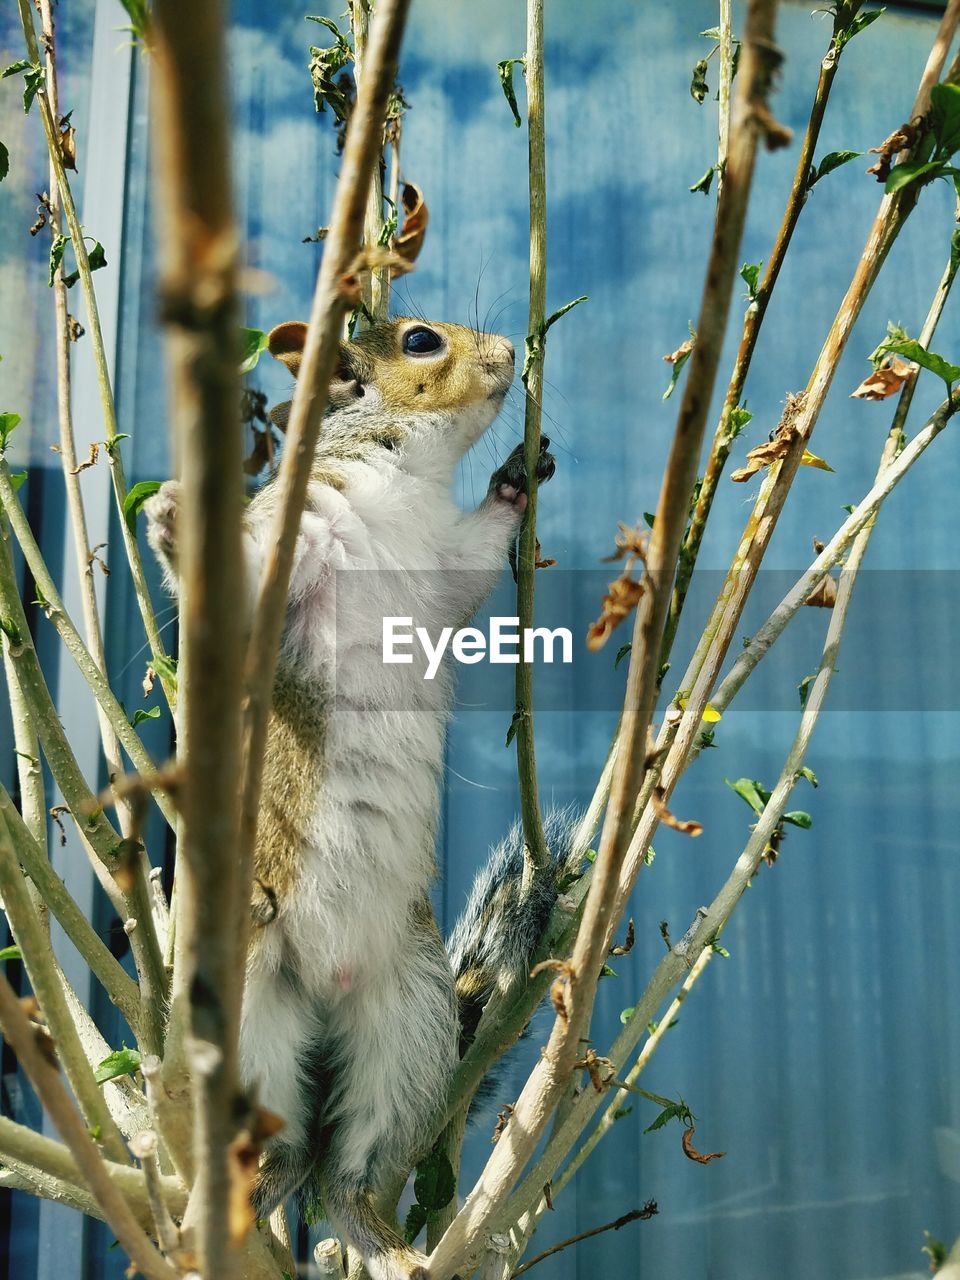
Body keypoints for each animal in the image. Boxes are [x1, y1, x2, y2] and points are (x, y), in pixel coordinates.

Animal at [146, 317, 576, 1280]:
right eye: (419, 340)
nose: (507, 355)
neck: (404, 484)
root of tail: (323, 988)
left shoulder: (446, 568)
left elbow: (473, 564)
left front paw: (517, 476)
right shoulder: (298, 531)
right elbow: (245, 583)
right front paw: (176, 528)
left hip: (405, 1021)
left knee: (343, 1173)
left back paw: (387, 1247)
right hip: (248, 1011)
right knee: (282, 1155)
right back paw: (242, 1200)